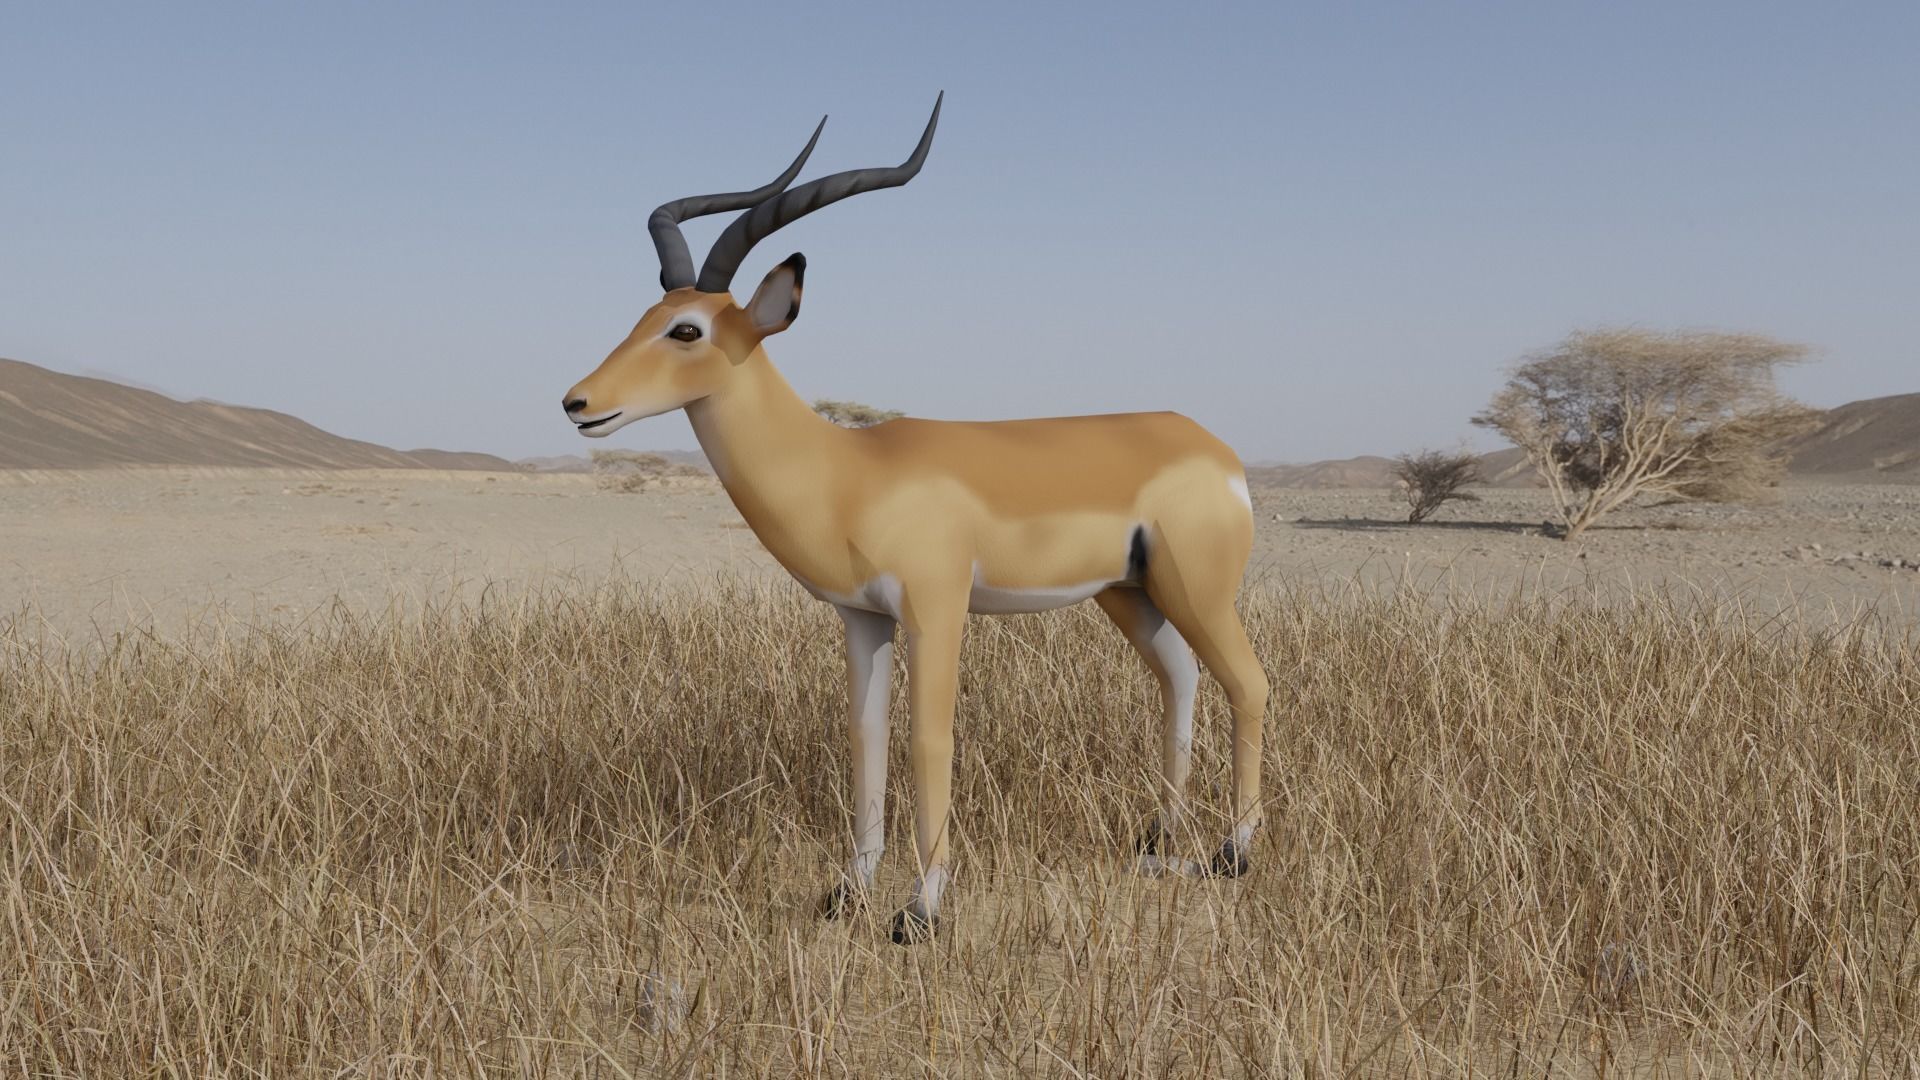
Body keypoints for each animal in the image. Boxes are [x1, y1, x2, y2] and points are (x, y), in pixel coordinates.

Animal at [561, 95, 1268, 943]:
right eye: (647, 315)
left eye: (688, 329)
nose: (578, 403)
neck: (849, 472)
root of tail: (1215, 447)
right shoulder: (863, 620)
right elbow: (865, 739)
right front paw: (845, 893)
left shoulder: (938, 609)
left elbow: (930, 739)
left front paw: (918, 911)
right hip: (1129, 594)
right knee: (1182, 676)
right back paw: (1159, 841)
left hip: (1198, 590)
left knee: (1250, 682)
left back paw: (1233, 854)